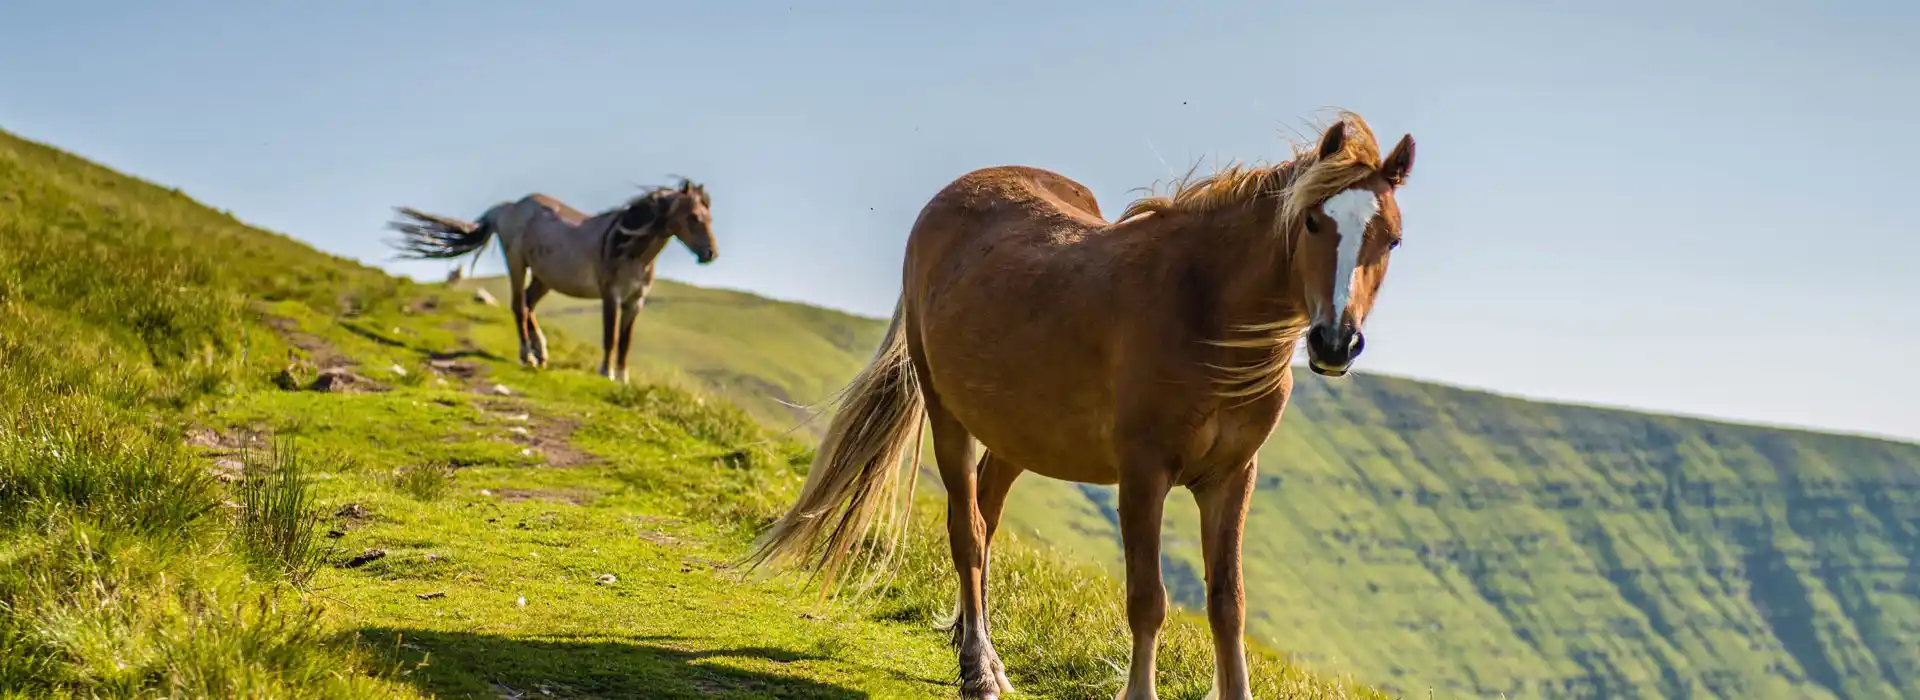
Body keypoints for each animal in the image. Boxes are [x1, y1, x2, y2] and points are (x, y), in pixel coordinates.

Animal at [387, 177, 714, 379]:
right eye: (692, 217)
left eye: (709, 217)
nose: (710, 253)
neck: (630, 249)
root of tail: (508, 207)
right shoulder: (611, 297)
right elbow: (610, 337)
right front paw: (606, 373)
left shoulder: (636, 302)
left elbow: (626, 341)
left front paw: (622, 378)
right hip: (517, 264)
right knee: (519, 307)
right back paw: (528, 356)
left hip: (543, 278)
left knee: (529, 306)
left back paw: (541, 352)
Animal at [744, 111, 1413, 694]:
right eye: (1313, 223)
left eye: (1392, 240)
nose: (1335, 341)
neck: (1203, 307)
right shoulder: (1143, 474)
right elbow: (1148, 600)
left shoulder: (1231, 477)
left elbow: (1229, 604)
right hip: (947, 414)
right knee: (968, 530)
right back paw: (980, 668)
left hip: (1016, 432)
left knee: (986, 519)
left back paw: (970, 639)